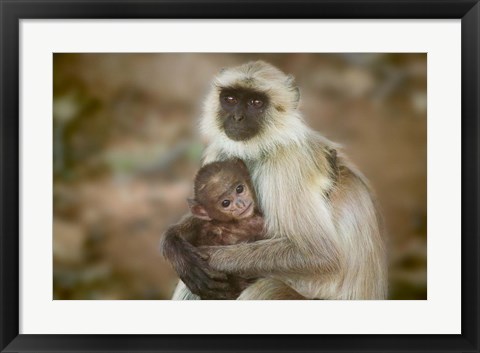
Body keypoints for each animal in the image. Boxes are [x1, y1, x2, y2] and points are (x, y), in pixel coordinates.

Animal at [163, 61, 388, 300]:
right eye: (230, 99)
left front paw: (207, 259)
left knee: (267, 287)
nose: (237, 118)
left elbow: (318, 254)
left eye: (256, 103)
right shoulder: (221, 152)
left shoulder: (286, 162)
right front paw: (176, 246)